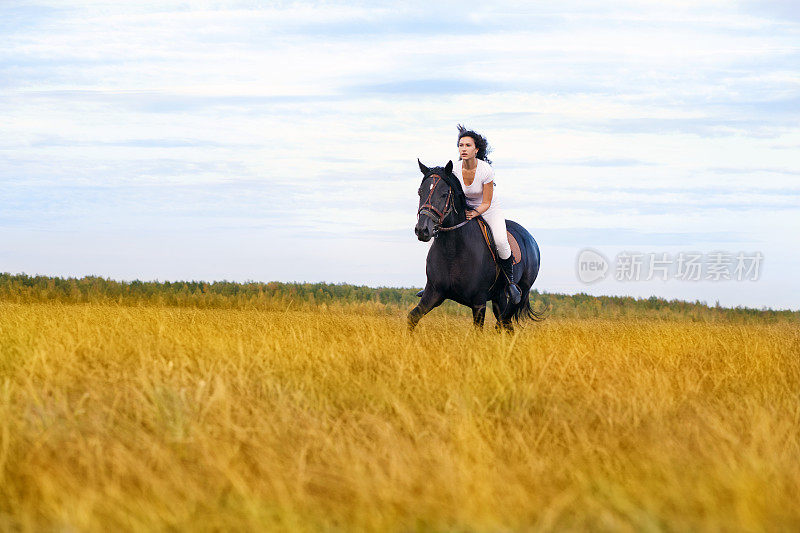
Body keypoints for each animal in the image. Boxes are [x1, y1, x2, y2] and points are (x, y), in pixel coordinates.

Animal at [412, 160, 544, 330]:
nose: (422, 229)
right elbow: (412, 317)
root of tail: (531, 239)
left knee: (504, 320)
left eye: (444, 194)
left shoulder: (479, 302)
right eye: (420, 192)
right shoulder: (434, 293)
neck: (452, 250)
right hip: (499, 296)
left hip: (522, 291)